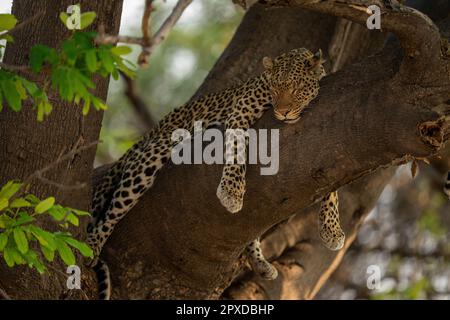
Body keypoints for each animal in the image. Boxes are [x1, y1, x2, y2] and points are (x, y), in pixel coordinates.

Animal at [89, 48, 344, 300]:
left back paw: (260, 262)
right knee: (112, 211)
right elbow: (236, 148)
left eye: (297, 89)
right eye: (274, 89)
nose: (283, 112)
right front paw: (231, 191)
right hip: (154, 153)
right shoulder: (241, 110)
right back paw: (92, 244)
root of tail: (153, 129)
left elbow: (332, 182)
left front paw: (331, 229)